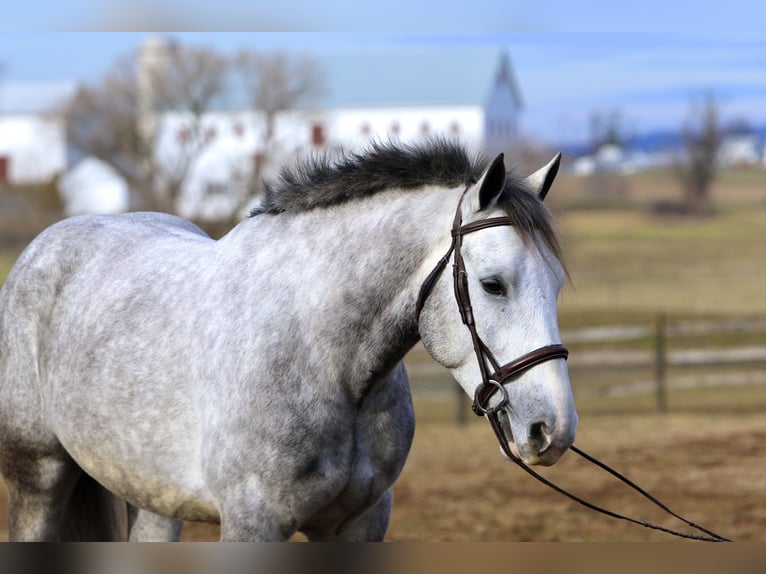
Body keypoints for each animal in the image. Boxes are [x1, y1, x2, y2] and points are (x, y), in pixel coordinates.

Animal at [0, 139, 577, 541]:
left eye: (555, 286)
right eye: (493, 284)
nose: (553, 430)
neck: (323, 357)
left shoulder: (359, 524)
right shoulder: (253, 525)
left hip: (151, 499)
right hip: (38, 482)